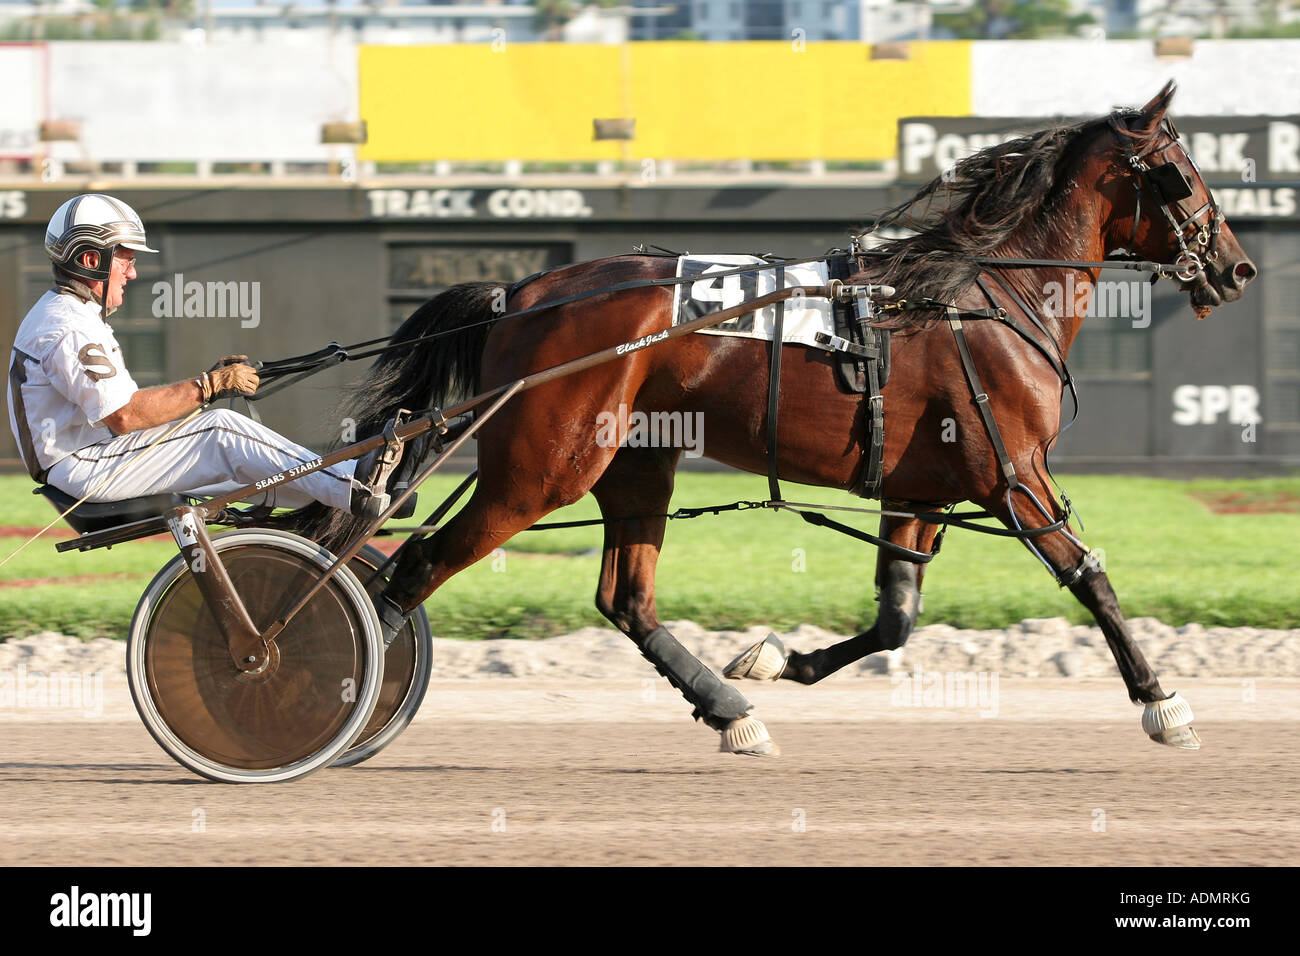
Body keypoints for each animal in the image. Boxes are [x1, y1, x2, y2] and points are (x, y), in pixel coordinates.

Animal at [298, 82, 1256, 756]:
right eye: (1181, 173)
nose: (1237, 266)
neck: (979, 293)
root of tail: (522, 292)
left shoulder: (924, 486)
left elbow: (896, 615)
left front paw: (774, 660)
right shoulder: (1013, 473)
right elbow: (1090, 576)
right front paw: (1163, 702)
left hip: (635, 461)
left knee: (625, 598)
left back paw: (730, 709)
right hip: (543, 467)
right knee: (416, 568)